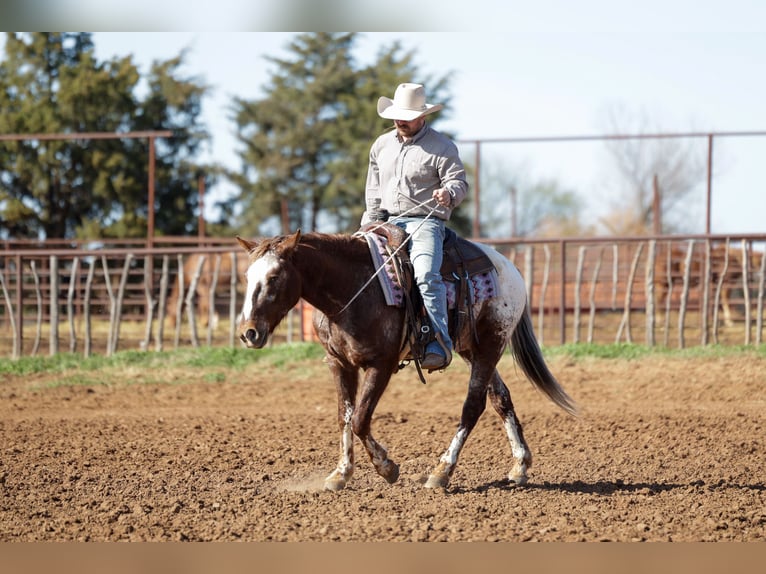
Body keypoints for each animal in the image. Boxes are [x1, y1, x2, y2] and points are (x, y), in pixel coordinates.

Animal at [236, 228, 577, 491]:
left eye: (274, 276)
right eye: (247, 276)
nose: (248, 332)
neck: (353, 287)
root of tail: (511, 268)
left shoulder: (381, 364)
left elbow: (360, 419)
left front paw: (387, 467)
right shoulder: (338, 363)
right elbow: (344, 416)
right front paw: (341, 474)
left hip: (491, 345)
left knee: (473, 406)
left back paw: (442, 471)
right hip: (473, 350)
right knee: (500, 398)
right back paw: (520, 466)